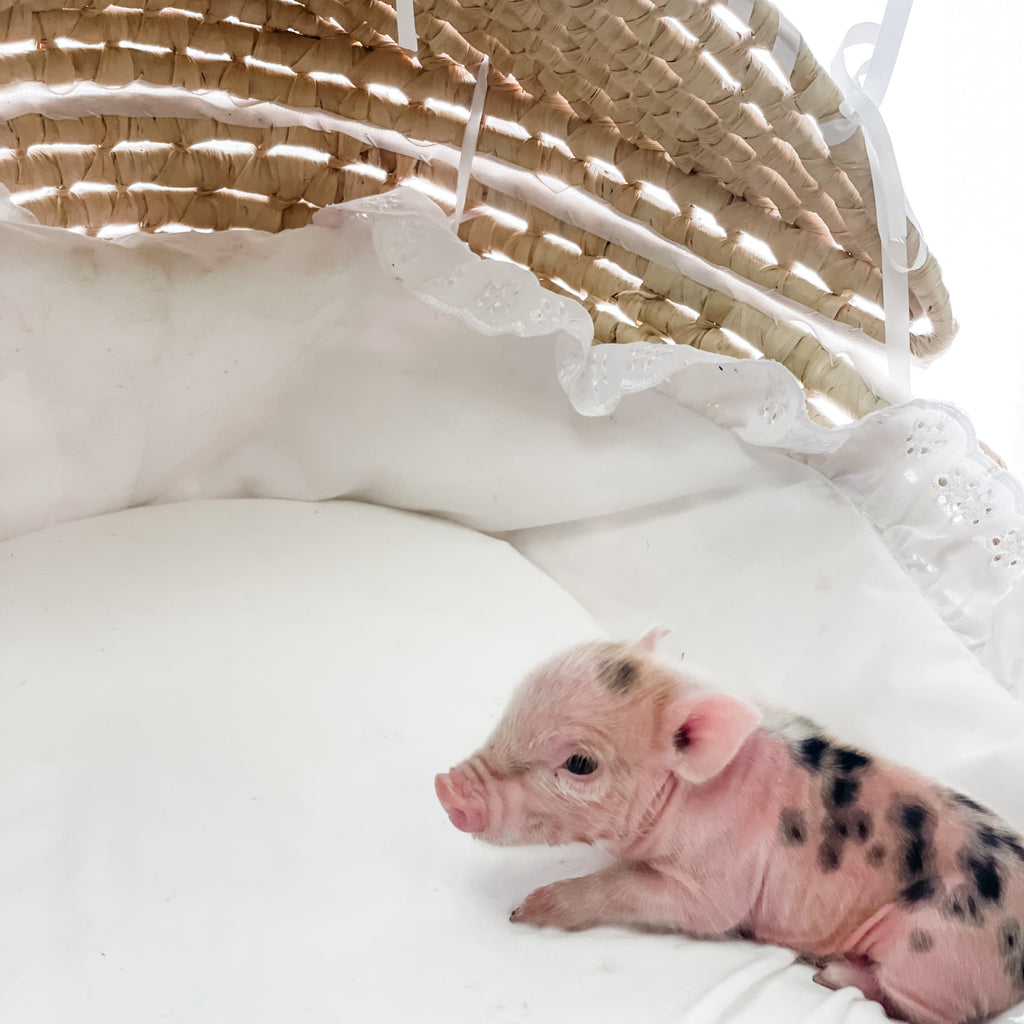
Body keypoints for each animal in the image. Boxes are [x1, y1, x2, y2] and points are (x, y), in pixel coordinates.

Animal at [435, 630, 1024, 1024]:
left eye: (580, 763)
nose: (445, 787)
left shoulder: (717, 885)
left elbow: (645, 892)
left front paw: (524, 910)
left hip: (931, 954)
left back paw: (830, 973)